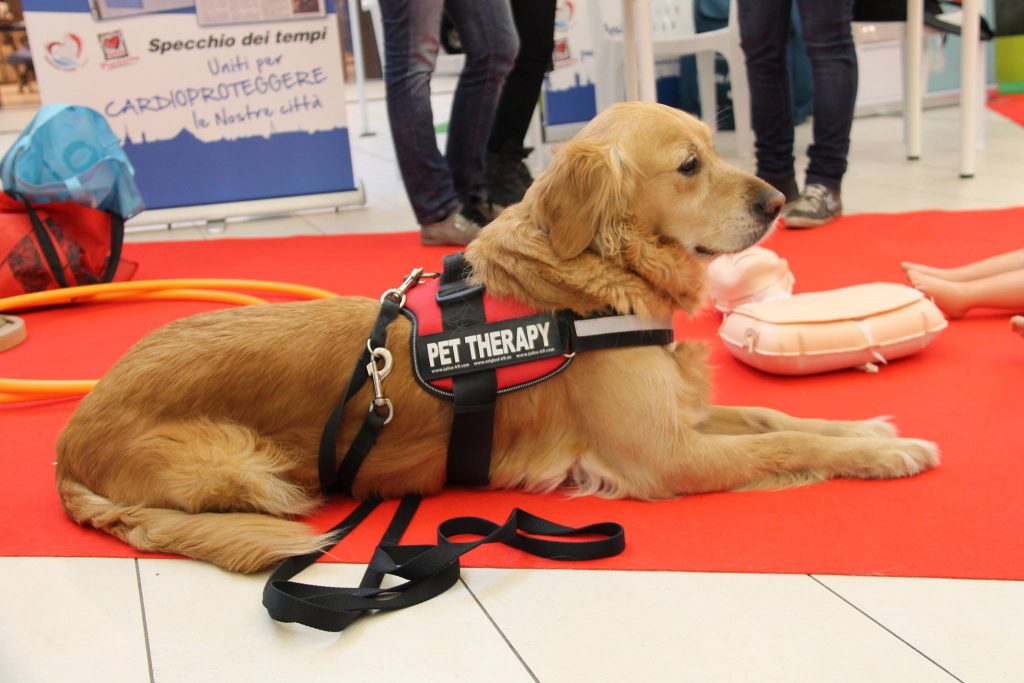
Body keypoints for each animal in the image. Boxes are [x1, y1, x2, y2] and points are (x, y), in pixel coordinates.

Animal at [54, 102, 937, 573]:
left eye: (715, 150)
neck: (598, 278)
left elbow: (779, 417)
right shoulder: (666, 456)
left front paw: (873, 428)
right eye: (689, 165)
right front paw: (883, 453)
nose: (778, 201)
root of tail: (71, 438)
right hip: (250, 471)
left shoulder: (679, 412)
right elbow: (782, 445)